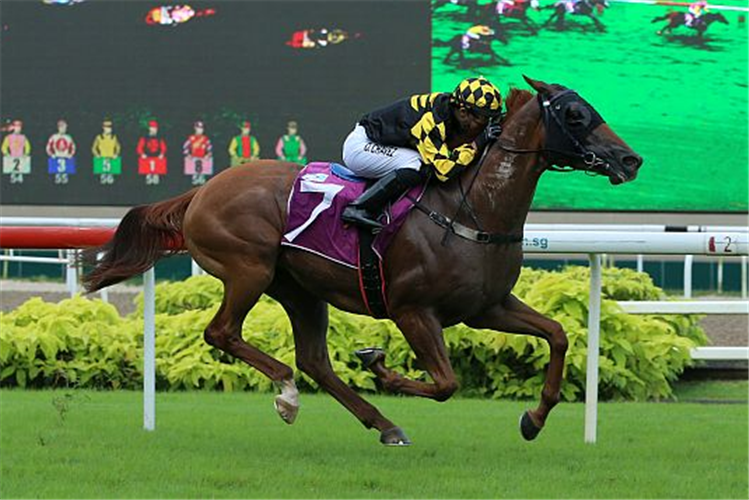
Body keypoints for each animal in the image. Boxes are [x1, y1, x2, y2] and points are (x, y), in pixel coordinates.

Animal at [83, 77, 644, 446]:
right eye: (575, 115)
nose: (631, 158)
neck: (472, 209)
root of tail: (201, 191)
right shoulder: (413, 310)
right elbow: (446, 383)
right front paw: (380, 366)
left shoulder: (488, 307)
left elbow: (558, 335)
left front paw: (535, 418)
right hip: (249, 268)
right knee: (224, 334)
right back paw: (288, 393)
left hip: (298, 288)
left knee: (314, 359)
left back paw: (383, 424)